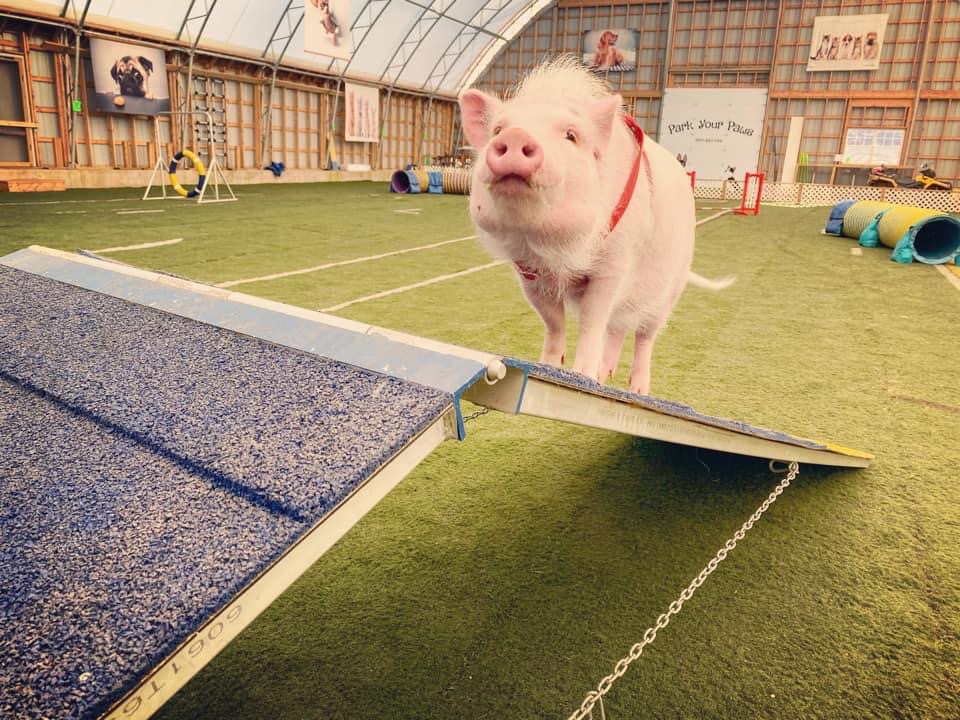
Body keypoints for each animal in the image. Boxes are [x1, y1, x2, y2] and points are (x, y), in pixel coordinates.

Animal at [458, 57, 732, 395]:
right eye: (498, 129)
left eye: (571, 135)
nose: (516, 136)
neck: (555, 251)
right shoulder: (529, 274)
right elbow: (553, 321)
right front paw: (549, 365)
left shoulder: (613, 265)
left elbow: (592, 320)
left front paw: (582, 376)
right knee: (617, 327)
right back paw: (606, 376)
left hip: (670, 289)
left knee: (644, 336)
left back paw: (637, 389)